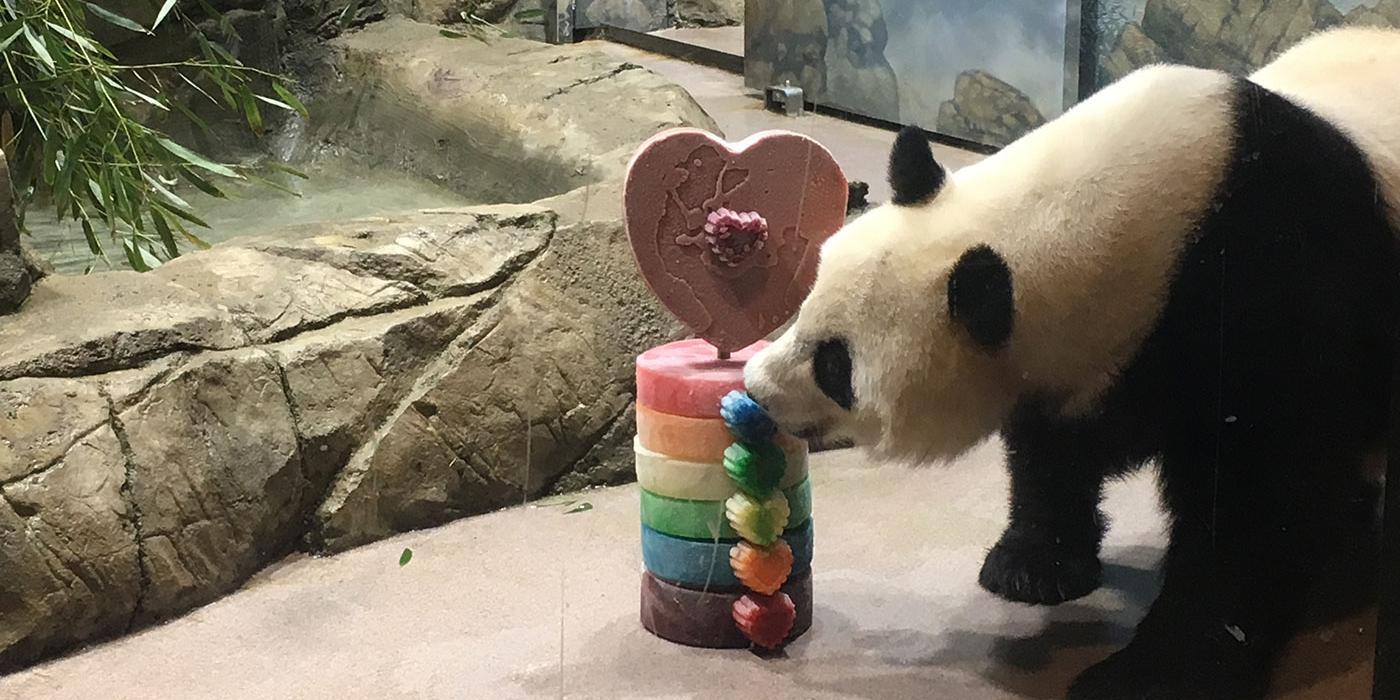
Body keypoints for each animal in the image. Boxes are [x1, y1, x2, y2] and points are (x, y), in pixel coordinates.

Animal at [750, 27, 1400, 700]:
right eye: (807, 305)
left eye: (836, 367)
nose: (755, 388)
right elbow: (1052, 449)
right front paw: (1031, 567)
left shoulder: (1273, 295)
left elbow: (1254, 505)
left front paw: (1151, 673)